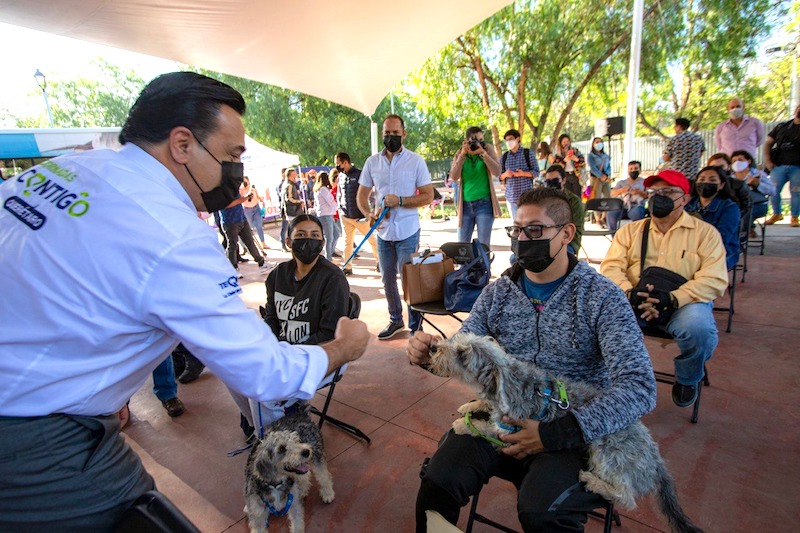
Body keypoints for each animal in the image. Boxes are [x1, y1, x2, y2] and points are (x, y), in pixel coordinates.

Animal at [242, 404, 332, 532]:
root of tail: (301, 413)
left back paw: (328, 493)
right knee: (306, 475)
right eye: (281, 449)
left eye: (296, 440)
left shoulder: (294, 505)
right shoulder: (258, 515)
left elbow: (297, 525)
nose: (306, 451)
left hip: (317, 456)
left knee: (323, 475)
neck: (275, 484)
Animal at [432, 332, 700, 532]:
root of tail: (656, 462)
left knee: (627, 498)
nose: (434, 347)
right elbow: (485, 405)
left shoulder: (510, 432)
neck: (512, 384)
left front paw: (465, 424)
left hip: (606, 449)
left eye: (462, 354)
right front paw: (471, 406)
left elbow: (487, 427)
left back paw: (593, 481)